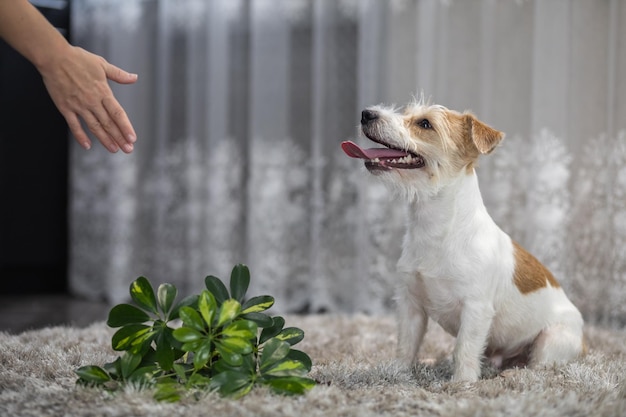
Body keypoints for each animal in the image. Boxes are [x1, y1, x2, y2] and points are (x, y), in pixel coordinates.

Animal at [338, 100, 584, 380]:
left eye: (425, 124)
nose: (366, 113)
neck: (436, 228)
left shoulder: (476, 309)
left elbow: (464, 349)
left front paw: (461, 383)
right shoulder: (410, 304)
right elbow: (406, 344)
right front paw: (398, 373)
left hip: (553, 338)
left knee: (540, 367)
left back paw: (514, 374)